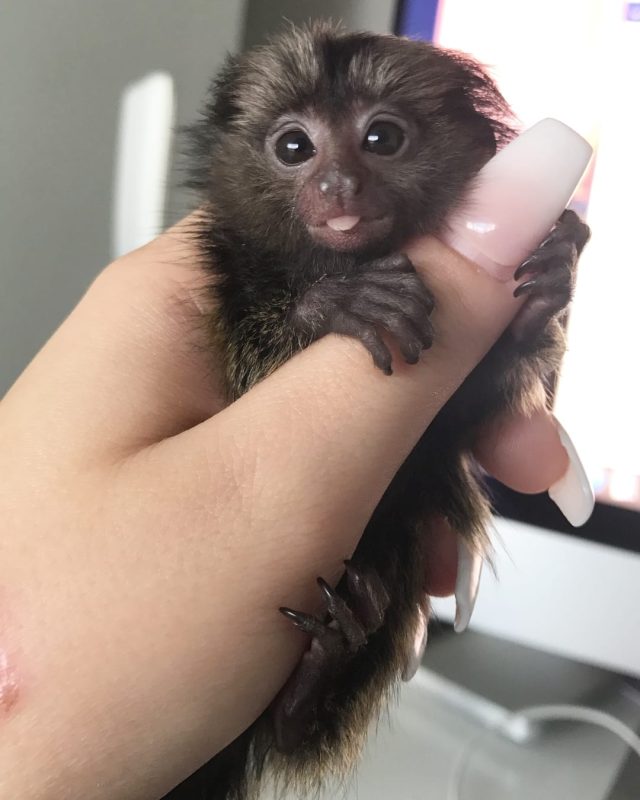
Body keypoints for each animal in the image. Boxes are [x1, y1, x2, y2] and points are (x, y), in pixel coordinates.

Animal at [162, 21, 590, 800]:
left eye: (381, 138)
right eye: (294, 147)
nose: (337, 186)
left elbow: (471, 412)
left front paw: (548, 284)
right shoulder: (231, 283)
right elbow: (249, 376)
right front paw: (334, 305)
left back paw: (310, 690)